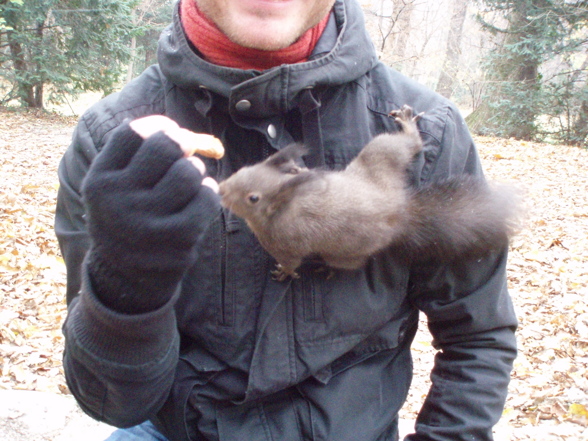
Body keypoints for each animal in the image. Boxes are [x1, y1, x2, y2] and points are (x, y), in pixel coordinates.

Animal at [217, 105, 520, 280]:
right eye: (246, 168)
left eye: (253, 198)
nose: (221, 189)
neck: (285, 206)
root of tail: (400, 210)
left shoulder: (284, 244)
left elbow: (292, 263)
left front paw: (284, 274)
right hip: (382, 152)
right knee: (409, 144)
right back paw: (407, 125)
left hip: (346, 250)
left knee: (352, 263)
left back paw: (328, 269)